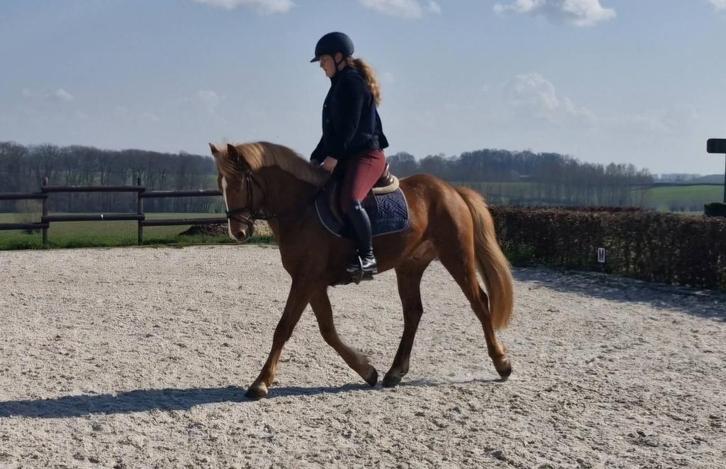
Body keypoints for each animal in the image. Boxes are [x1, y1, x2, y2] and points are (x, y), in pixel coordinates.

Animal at [209, 141, 514, 399]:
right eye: (220, 185)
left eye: (238, 183)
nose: (237, 232)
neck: (301, 208)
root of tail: (452, 190)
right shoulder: (312, 282)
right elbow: (327, 329)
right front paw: (367, 371)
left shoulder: (306, 279)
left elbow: (284, 327)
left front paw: (260, 382)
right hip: (410, 266)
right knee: (413, 312)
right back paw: (395, 372)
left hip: (457, 257)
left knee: (479, 302)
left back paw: (502, 363)